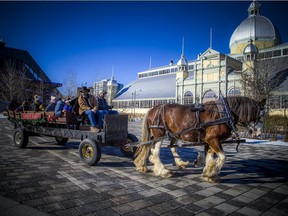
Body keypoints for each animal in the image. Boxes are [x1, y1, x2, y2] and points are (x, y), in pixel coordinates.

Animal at [133, 96, 266, 182]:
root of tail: (152, 109)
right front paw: (212, 174)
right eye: (260, 115)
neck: (224, 113)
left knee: (162, 147)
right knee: (155, 152)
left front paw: (208, 172)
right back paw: (163, 171)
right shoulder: (213, 139)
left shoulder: (210, 140)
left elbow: (209, 156)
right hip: (159, 133)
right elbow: (223, 157)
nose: (260, 133)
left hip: (171, 134)